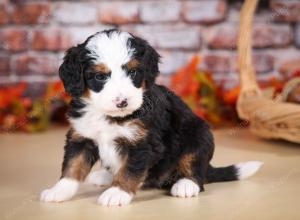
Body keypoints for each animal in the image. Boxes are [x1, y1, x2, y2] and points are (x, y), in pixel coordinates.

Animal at [40, 29, 262, 206]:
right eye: (100, 76)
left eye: (133, 72)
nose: (122, 102)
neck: (110, 116)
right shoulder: (81, 136)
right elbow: (73, 166)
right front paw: (58, 191)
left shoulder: (143, 143)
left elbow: (129, 170)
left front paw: (117, 193)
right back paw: (105, 175)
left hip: (200, 136)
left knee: (195, 167)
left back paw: (185, 184)